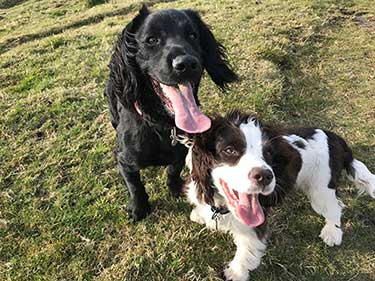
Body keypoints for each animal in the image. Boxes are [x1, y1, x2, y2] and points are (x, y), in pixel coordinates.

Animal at [104, 6, 236, 221]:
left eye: (192, 35)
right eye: (151, 40)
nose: (186, 63)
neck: (161, 123)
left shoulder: (182, 151)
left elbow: (172, 171)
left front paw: (175, 189)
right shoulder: (124, 160)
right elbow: (135, 186)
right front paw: (138, 208)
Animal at [186, 110, 375, 280]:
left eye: (268, 153)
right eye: (229, 150)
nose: (265, 176)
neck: (222, 205)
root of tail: (336, 139)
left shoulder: (256, 224)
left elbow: (247, 250)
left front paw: (235, 273)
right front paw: (200, 215)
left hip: (320, 188)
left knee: (334, 207)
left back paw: (332, 233)